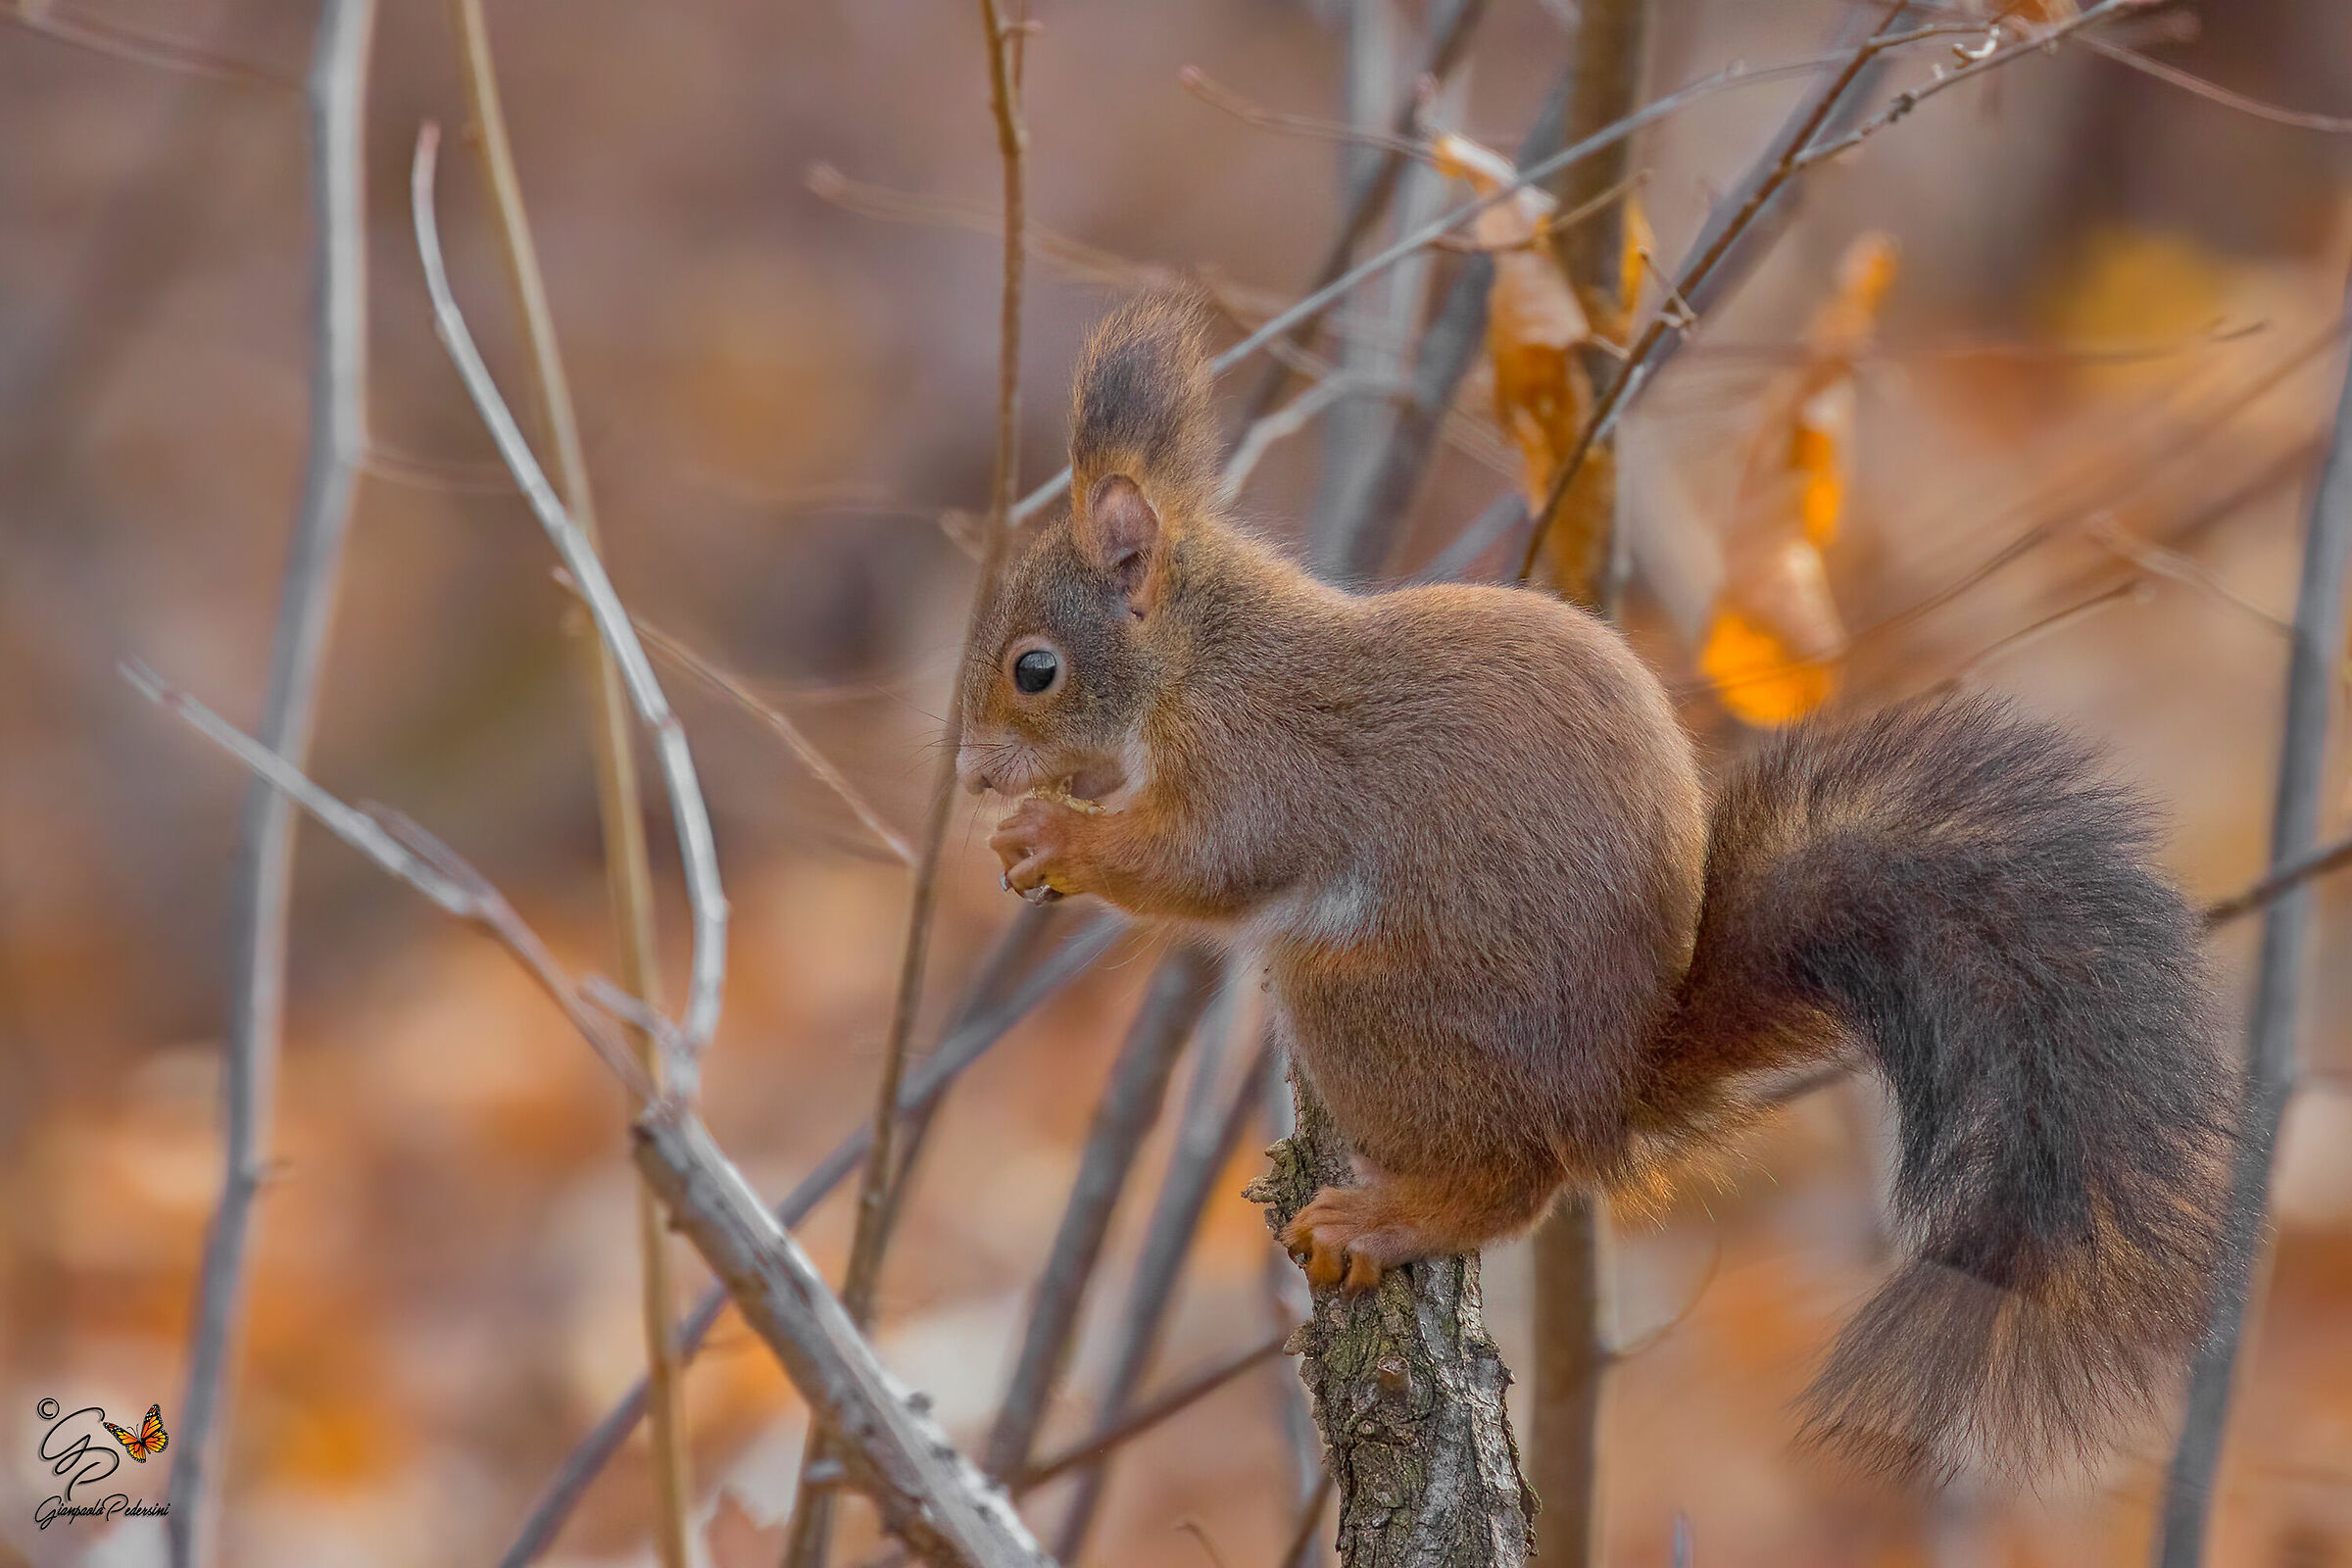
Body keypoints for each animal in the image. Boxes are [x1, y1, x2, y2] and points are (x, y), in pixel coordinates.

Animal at [957, 295, 2237, 1482]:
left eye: (1036, 669)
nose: (969, 773)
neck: (1199, 654)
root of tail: (1607, 1092)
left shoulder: (1257, 765)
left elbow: (1202, 865)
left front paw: (1054, 836)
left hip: (1362, 1004)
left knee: (1515, 1182)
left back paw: (1393, 1213)